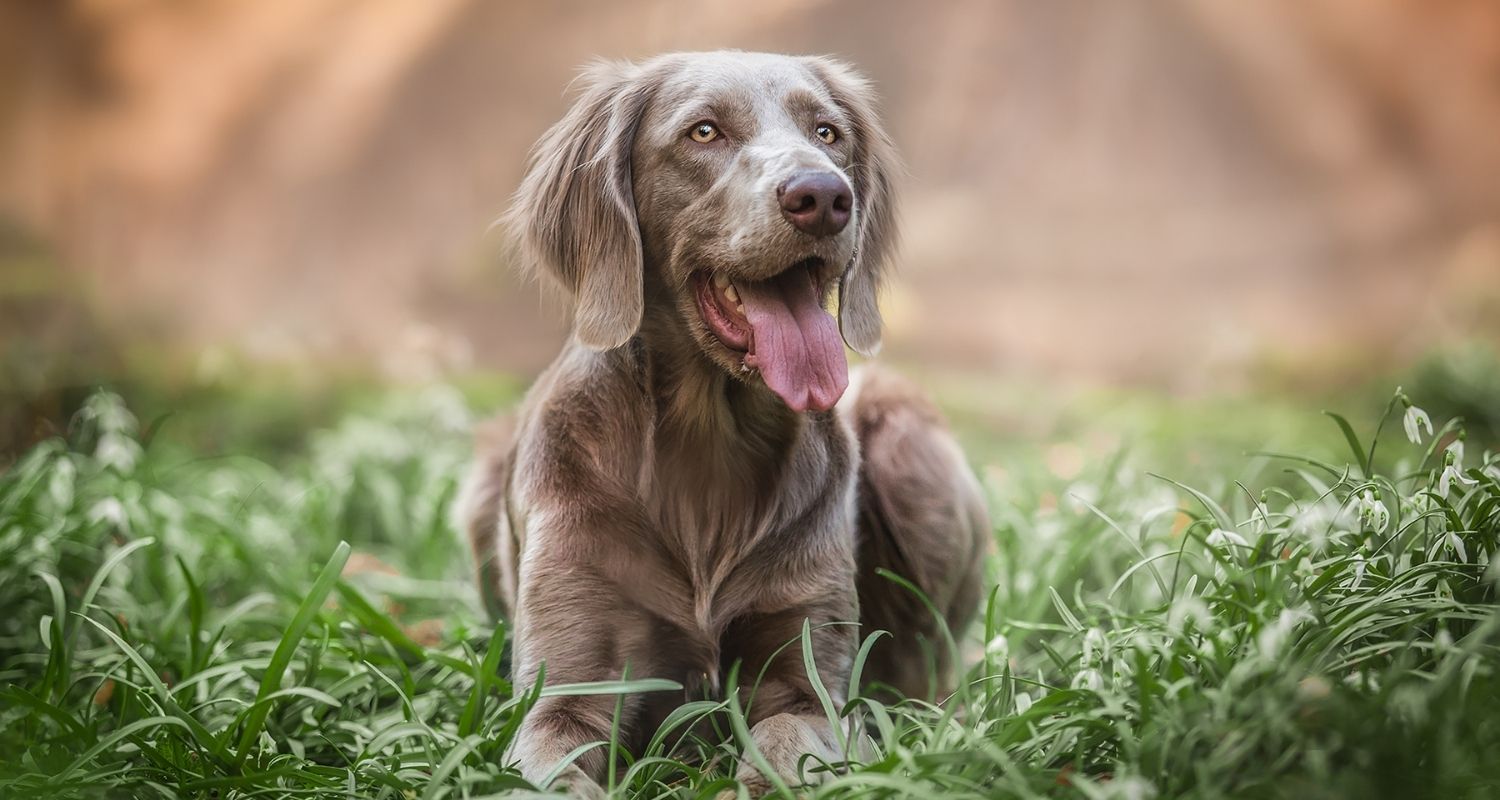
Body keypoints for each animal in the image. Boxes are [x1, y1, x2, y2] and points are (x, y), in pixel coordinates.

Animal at [462, 48, 990, 792]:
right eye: (704, 132)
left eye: (828, 133)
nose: (823, 197)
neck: (709, 440)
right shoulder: (560, 699)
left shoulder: (810, 688)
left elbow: (779, 748)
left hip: (911, 450)